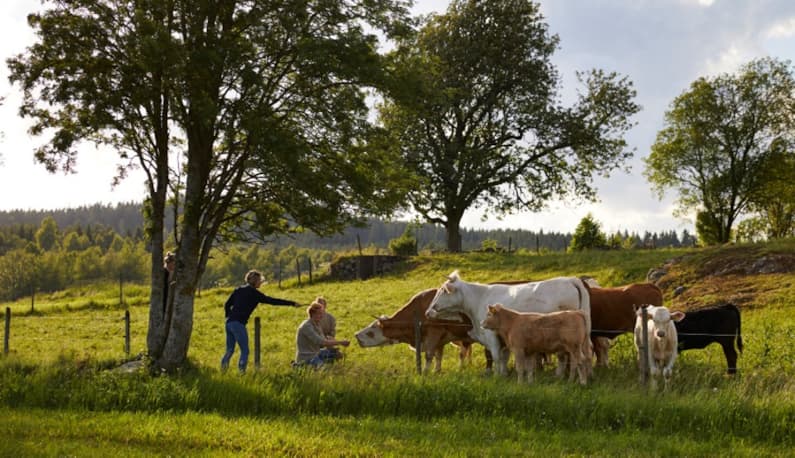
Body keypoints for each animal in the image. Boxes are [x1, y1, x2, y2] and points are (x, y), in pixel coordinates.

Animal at [356, 290, 492, 372]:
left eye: (372, 328)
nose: (356, 335)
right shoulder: (441, 340)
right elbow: (438, 356)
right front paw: (436, 371)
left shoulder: (434, 333)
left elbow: (429, 355)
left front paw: (425, 373)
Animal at [430, 270, 592, 378]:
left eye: (443, 291)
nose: (430, 310)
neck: (479, 299)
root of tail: (570, 279)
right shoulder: (504, 338)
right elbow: (504, 357)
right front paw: (504, 374)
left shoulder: (491, 335)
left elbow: (495, 356)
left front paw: (497, 376)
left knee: (568, 355)